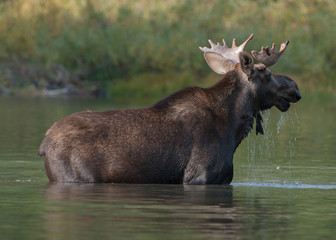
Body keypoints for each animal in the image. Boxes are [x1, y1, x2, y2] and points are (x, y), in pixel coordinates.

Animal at [38, 33, 300, 184]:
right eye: (265, 72)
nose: (295, 87)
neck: (232, 129)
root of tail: (43, 144)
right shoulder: (200, 176)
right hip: (75, 177)